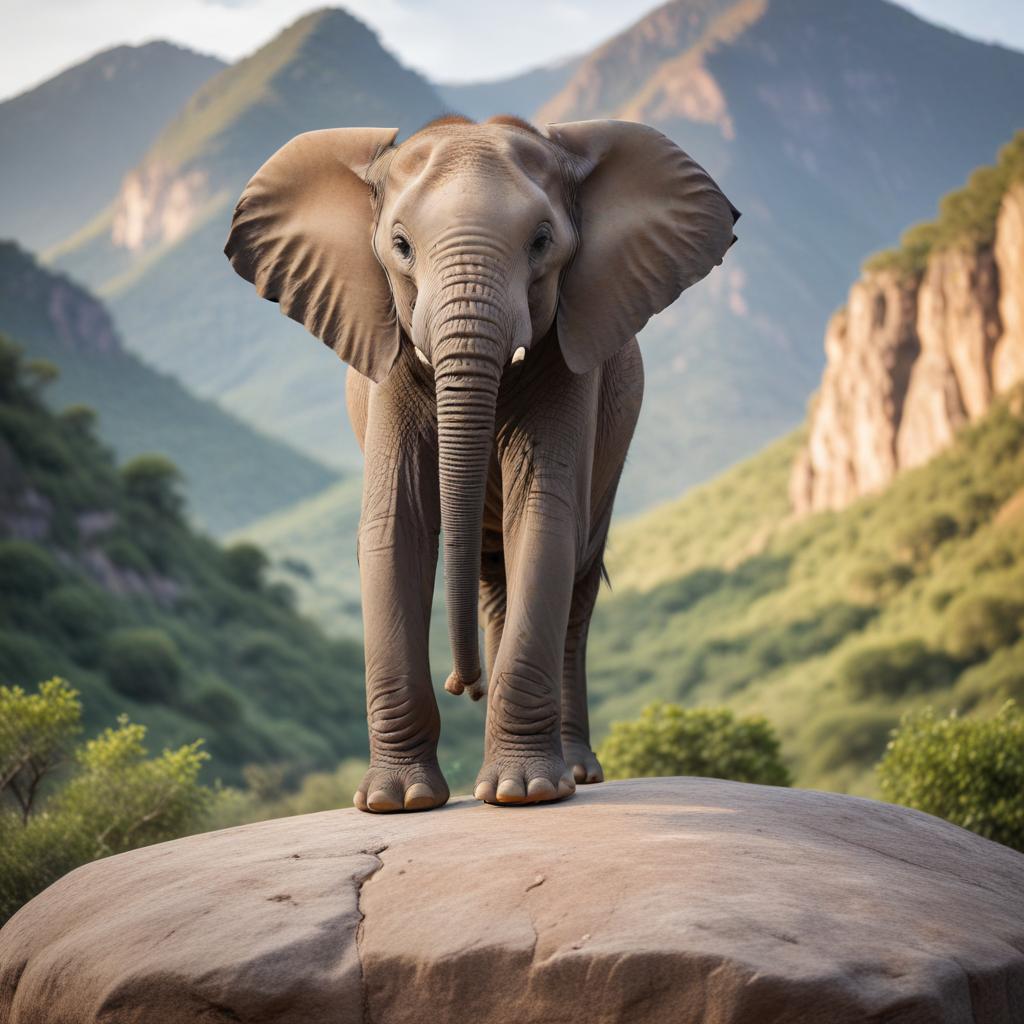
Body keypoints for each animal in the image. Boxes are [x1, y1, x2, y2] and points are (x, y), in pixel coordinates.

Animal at [225, 114, 738, 812]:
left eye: (542, 242)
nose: (459, 683)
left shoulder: (571, 355)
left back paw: (574, 773)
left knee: (577, 575)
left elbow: (544, 518)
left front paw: (526, 793)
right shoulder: (389, 357)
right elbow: (395, 526)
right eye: (400, 245)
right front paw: (397, 803)